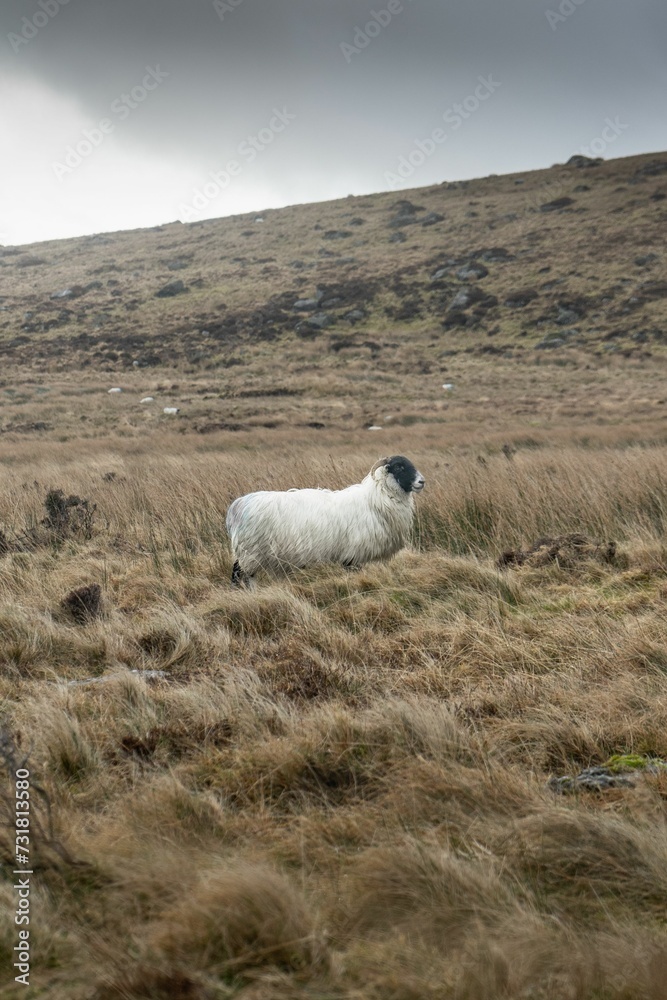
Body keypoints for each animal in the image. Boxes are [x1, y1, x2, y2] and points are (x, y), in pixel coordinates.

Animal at [226, 455, 425, 587]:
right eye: (399, 467)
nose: (422, 481)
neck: (375, 499)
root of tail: (238, 505)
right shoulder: (352, 554)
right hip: (250, 550)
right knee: (239, 574)